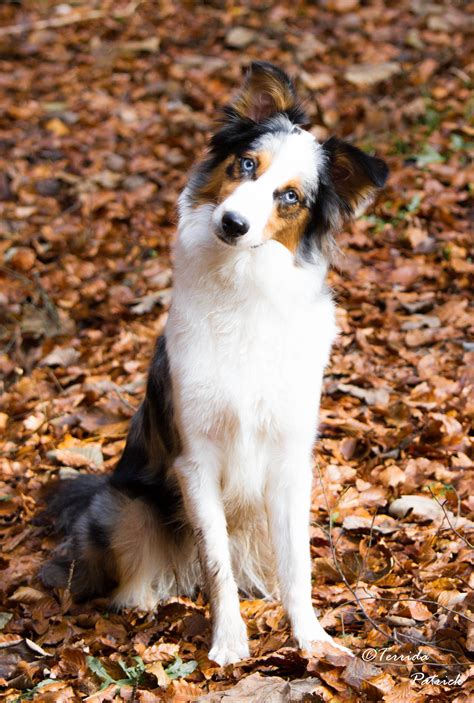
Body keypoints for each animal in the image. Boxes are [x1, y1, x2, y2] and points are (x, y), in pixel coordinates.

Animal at [41, 64, 388, 664]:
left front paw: (310, 636)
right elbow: (216, 562)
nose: (233, 223)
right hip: (127, 502)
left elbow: (297, 564)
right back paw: (143, 600)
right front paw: (228, 641)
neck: (244, 290)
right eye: (246, 164)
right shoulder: (194, 458)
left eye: (289, 196)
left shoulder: (290, 459)